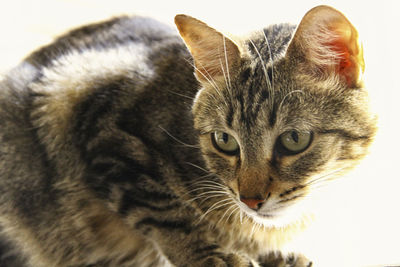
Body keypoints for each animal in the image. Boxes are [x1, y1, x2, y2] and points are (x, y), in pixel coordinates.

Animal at [0, 4, 376, 267]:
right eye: (224, 141)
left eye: (294, 139)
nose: (250, 200)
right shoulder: (97, 122)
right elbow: (166, 211)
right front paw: (210, 255)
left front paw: (275, 253)